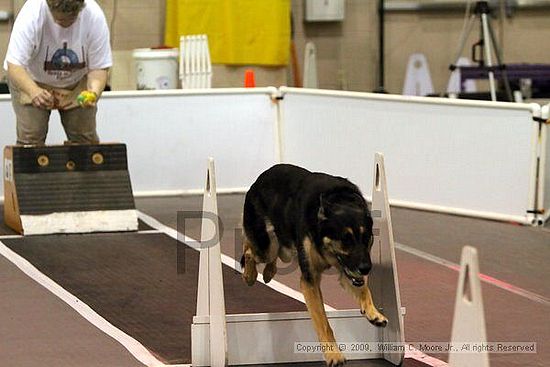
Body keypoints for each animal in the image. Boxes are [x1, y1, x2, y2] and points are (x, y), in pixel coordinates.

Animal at [242, 165, 388, 366]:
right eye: (346, 240)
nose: (366, 268)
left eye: (366, 238)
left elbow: (364, 289)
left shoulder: (347, 272)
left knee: (272, 253)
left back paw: (268, 272)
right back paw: (249, 275)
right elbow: (323, 322)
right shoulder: (310, 281)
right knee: (249, 249)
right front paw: (333, 354)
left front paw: (373, 313)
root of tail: (259, 179)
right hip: (266, 246)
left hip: (284, 249)